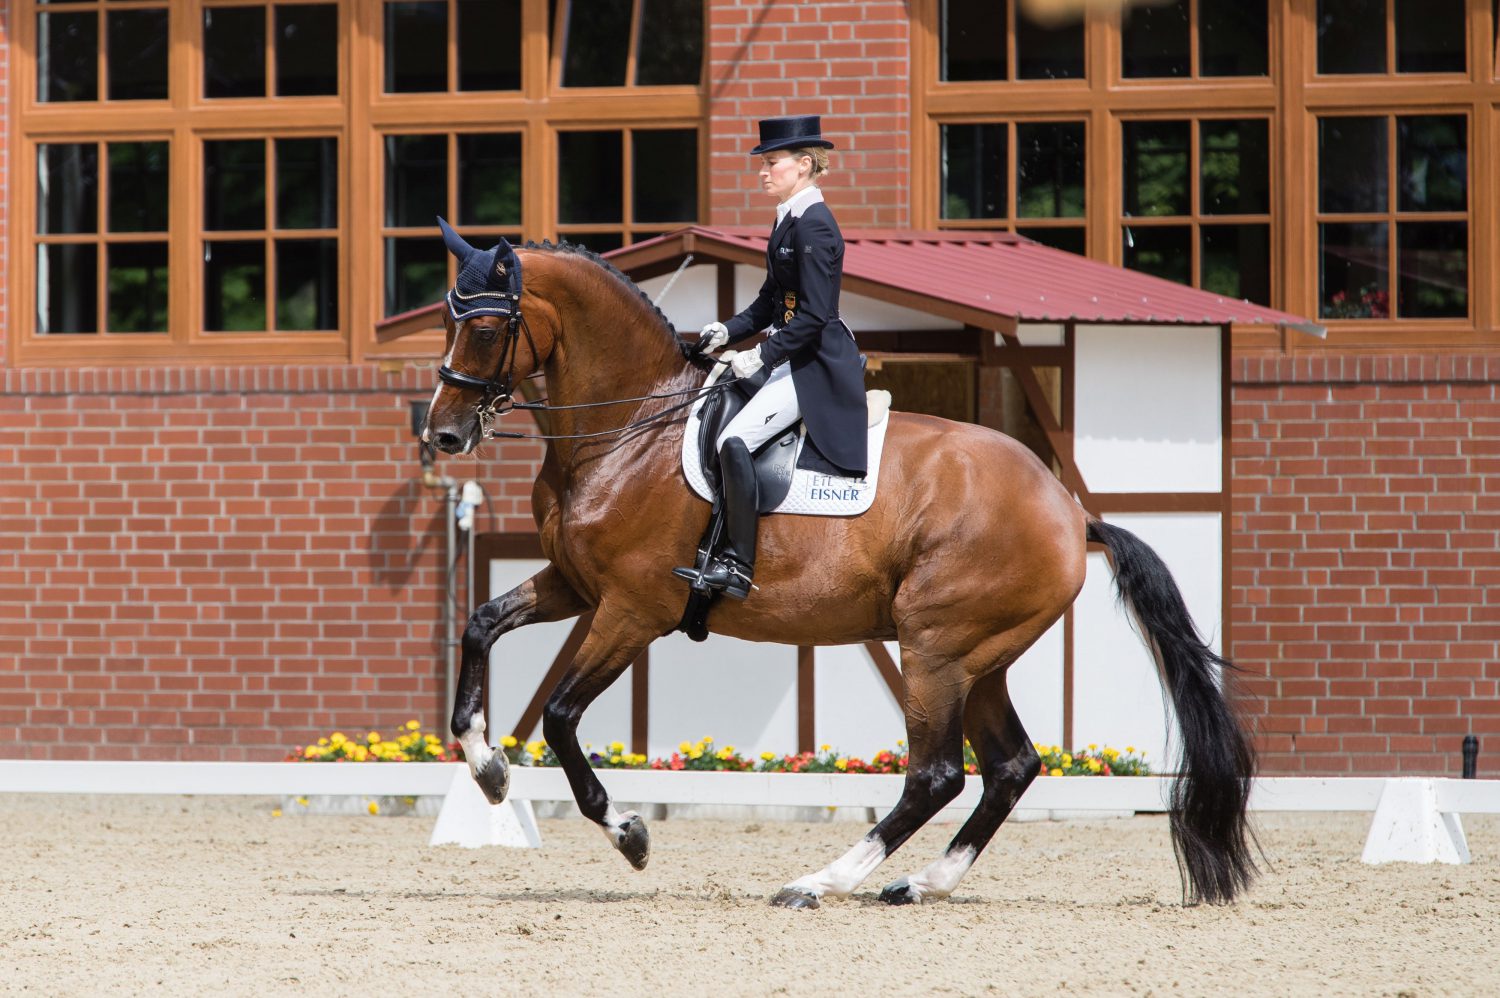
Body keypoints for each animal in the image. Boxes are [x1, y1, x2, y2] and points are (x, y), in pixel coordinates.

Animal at [423, 228, 1254, 912]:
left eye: (487, 327)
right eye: (448, 321)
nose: (444, 434)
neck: (626, 430)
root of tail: (1068, 509)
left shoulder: (632, 608)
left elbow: (562, 717)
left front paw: (627, 832)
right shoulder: (575, 585)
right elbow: (480, 625)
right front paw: (486, 765)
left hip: (935, 648)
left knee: (936, 774)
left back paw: (820, 882)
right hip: (978, 659)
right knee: (1010, 766)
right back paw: (919, 884)